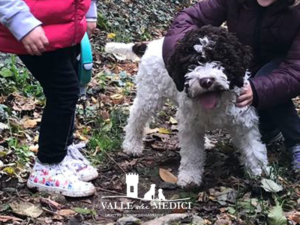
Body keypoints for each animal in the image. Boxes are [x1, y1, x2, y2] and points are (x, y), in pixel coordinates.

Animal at [106, 25, 270, 188]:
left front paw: (260, 173)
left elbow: (253, 147)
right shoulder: (190, 124)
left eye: (220, 58)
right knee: (136, 115)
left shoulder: (243, 119)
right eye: (192, 63)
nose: (206, 81)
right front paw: (190, 177)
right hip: (149, 95)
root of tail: (150, 45)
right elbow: (192, 152)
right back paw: (131, 144)